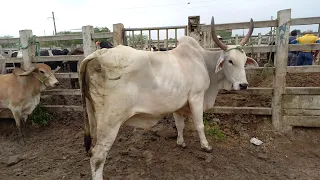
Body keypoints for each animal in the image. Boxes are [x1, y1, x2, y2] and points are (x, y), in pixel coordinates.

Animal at [79, 16, 258, 179]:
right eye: (230, 61)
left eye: (244, 61)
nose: (243, 85)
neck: (203, 62)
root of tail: (97, 55)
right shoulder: (197, 97)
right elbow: (200, 125)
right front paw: (206, 146)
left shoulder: (178, 104)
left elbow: (180, 125)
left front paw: (181, 142)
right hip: (110, 122)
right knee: (97, 157)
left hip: (93, 118)